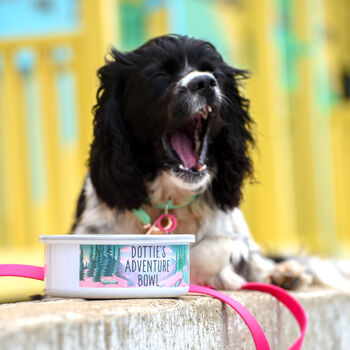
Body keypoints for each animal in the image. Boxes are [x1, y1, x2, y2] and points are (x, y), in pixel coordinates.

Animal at [69, 34, 348, 292]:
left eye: (213, 73)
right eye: (160, 74)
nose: (204, 82)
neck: (169, 199)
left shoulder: (228, 232)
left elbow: (217, 246)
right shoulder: (88, 232)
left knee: (261, 261)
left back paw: (285, 274)